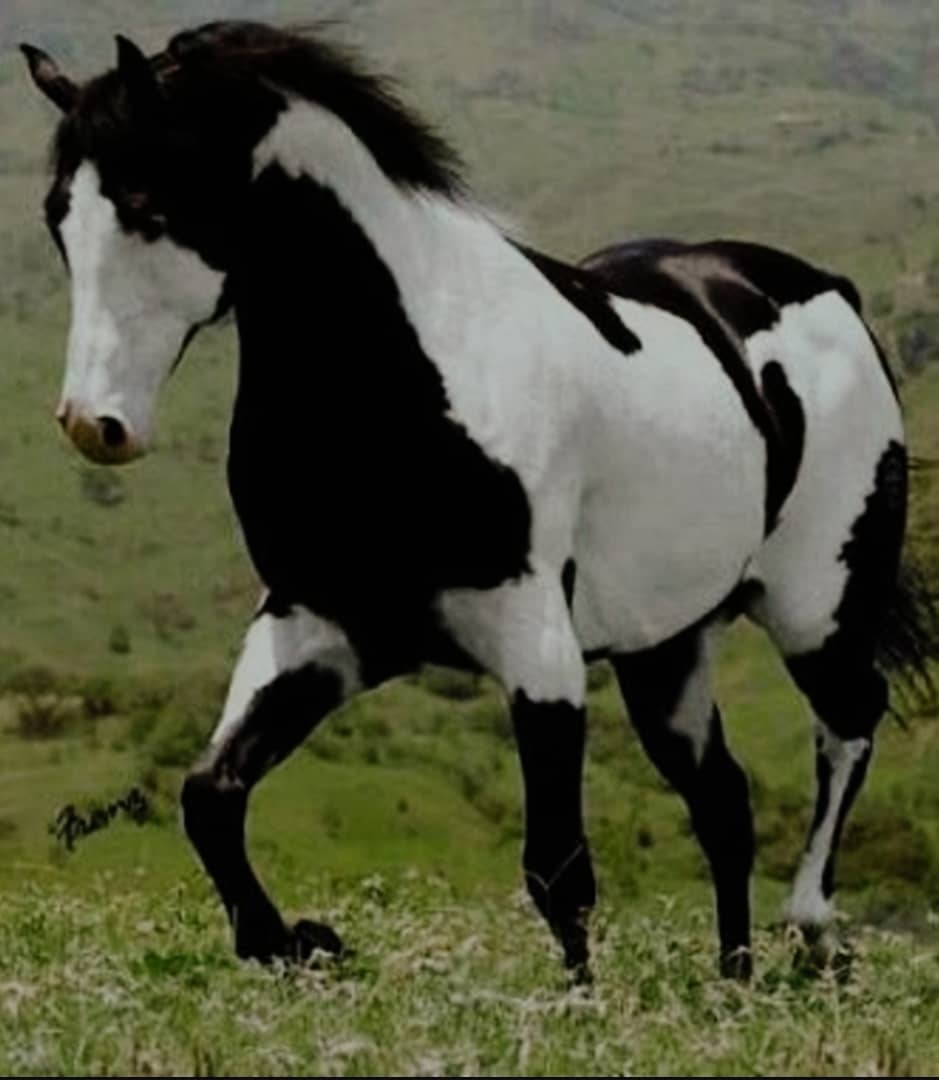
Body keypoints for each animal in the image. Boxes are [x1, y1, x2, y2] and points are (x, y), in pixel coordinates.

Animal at [21, 20, 937, 983]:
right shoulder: (317, 628)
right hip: (668, 649)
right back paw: (732, 981)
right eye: (58, 216)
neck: (408, 377)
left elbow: (557, 869)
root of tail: (826, 288)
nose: (95, 424)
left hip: (816, 610)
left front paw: (577, 1005)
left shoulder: (536, 645)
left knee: (849, 722)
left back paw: (813, 927)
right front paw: (297, 942)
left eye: (150, 206)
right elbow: (209, 795)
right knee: (722, 798)